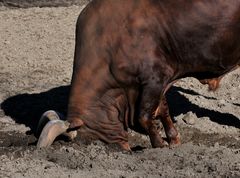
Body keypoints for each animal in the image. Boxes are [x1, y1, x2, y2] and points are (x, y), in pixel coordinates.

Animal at [36, 0, 240, 150]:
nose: (120, 150)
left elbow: (144, 116)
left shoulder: (153, 80)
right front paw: (173, 139)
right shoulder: (159, 82)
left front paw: (159, 145)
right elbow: (162, 110)